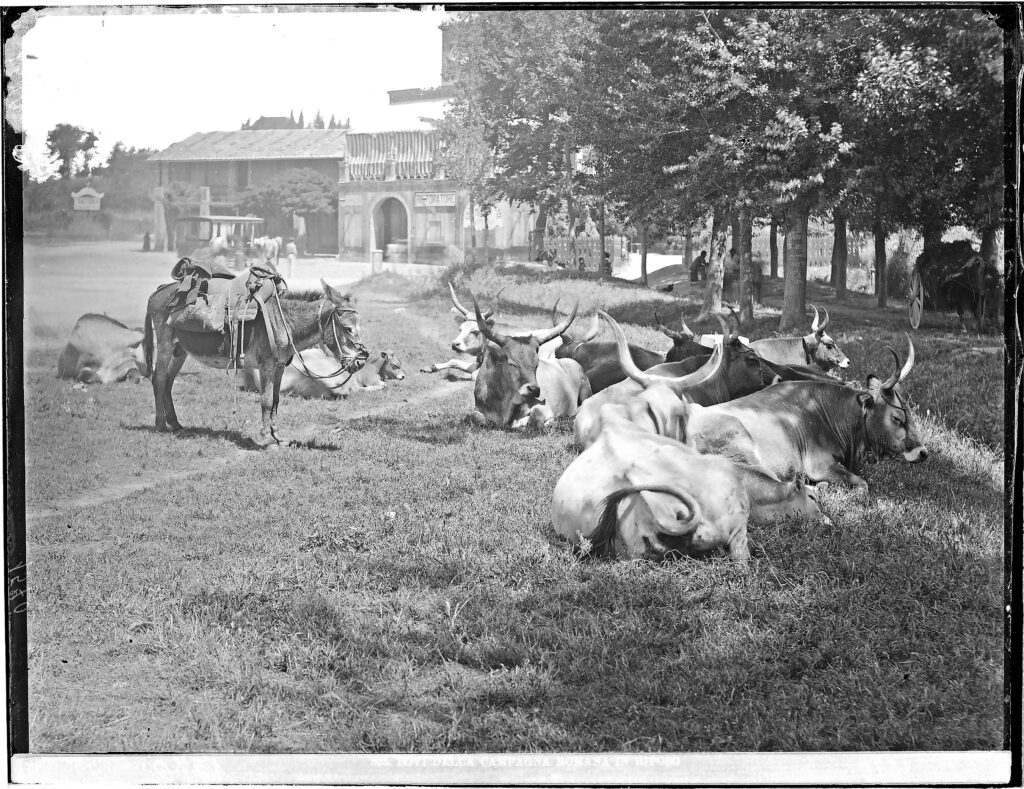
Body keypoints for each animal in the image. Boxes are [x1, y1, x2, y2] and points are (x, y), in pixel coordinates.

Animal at [144, 280, 368, 448]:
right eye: (348, 328)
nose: (361, 360)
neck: (283, 321)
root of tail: (159, 291)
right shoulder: (266, 366)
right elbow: (266, 401)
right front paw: (267, 440)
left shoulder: (279, 367)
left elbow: (276, 401)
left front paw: (277, 437)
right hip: (165, 344)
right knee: (159, 380)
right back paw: (161, 425)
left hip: (179, 351)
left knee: (168, 383)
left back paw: (175, 423)